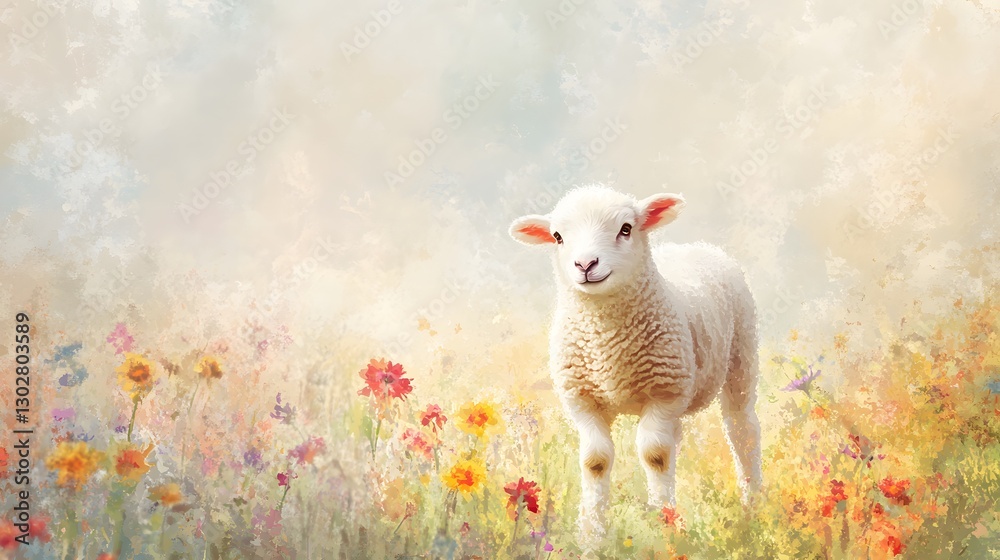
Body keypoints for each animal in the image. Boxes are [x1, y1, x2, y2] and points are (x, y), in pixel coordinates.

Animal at [508, 185, 762, 543]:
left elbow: (655, 455)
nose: (585, 264)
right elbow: (595, 461)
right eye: (557, 236)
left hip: (741, 353)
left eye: (626, 229)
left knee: (742, 430)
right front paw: (592, 534)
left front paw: (663, 526)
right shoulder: (582, 399)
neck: (606, 346)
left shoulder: (664, 392)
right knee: (678, 439)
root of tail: (697, 245)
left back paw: (753, 505)